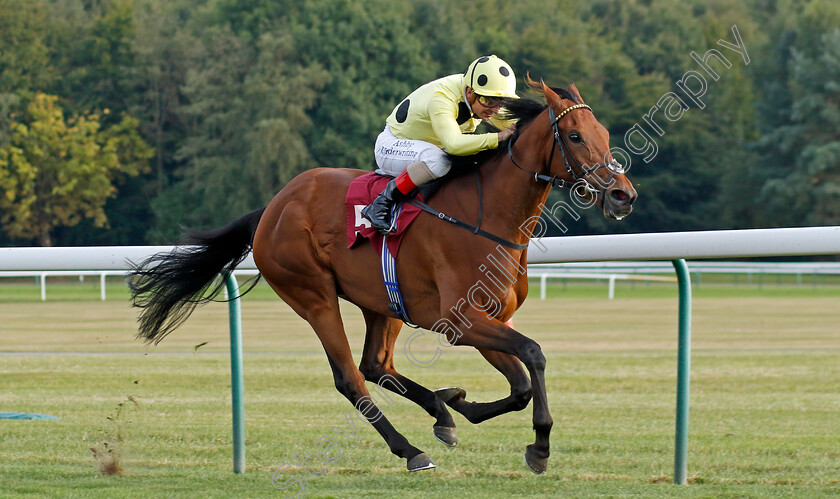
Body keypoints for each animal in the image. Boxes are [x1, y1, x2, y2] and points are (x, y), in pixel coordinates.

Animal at [128, 78, 636, 476]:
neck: (488, 215)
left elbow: (521, 386)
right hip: (312, 294)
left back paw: (439, 411)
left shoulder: (488, 320)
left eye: (604, 133)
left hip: (382, 301)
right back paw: (410, 450)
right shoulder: (461, 321)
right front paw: (539, 446)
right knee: (350, 377)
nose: (622, 195)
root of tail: (272, 207)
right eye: (574, 135)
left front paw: (460, 403)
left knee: (377, 365)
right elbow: (533, 355)